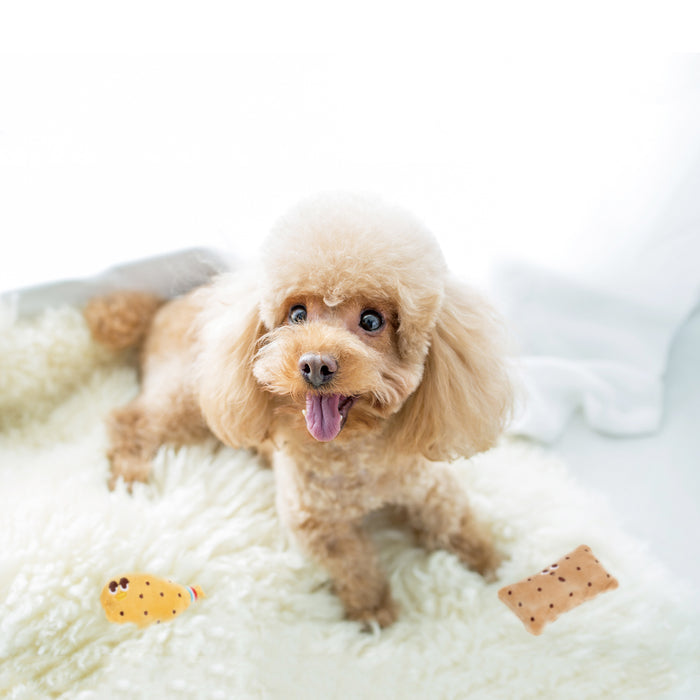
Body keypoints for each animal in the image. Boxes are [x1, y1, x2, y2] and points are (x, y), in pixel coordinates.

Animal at [86, 194, 516, 628]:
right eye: (297, 314)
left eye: (371, 320)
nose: (315, 364)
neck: (354, 459)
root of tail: (162, 307)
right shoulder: (317, 523)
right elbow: (354, 563)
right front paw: (374, 611)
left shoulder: (429, 486)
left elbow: (455, 521)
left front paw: (493, 564)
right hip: (188, 395)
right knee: (131, 421)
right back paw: (129, 476)